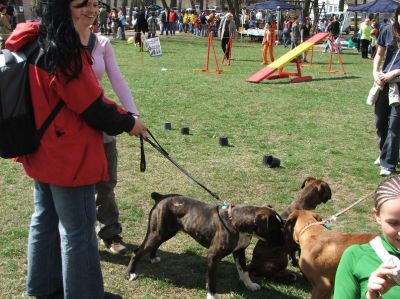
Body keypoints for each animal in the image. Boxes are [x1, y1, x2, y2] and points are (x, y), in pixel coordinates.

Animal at [126, 193, 282, 298]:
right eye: (276, 228)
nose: (284, 239)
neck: (236, 221)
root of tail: (161, 197)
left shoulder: (239, 251)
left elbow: (243, 270)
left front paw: (250, 285)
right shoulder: (213, 256)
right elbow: (212, 281)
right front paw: (212, 296)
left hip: (165, 233)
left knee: (154, 246)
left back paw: (153, 258)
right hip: (156, 233)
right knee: (137, 252)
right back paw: (131, 273)